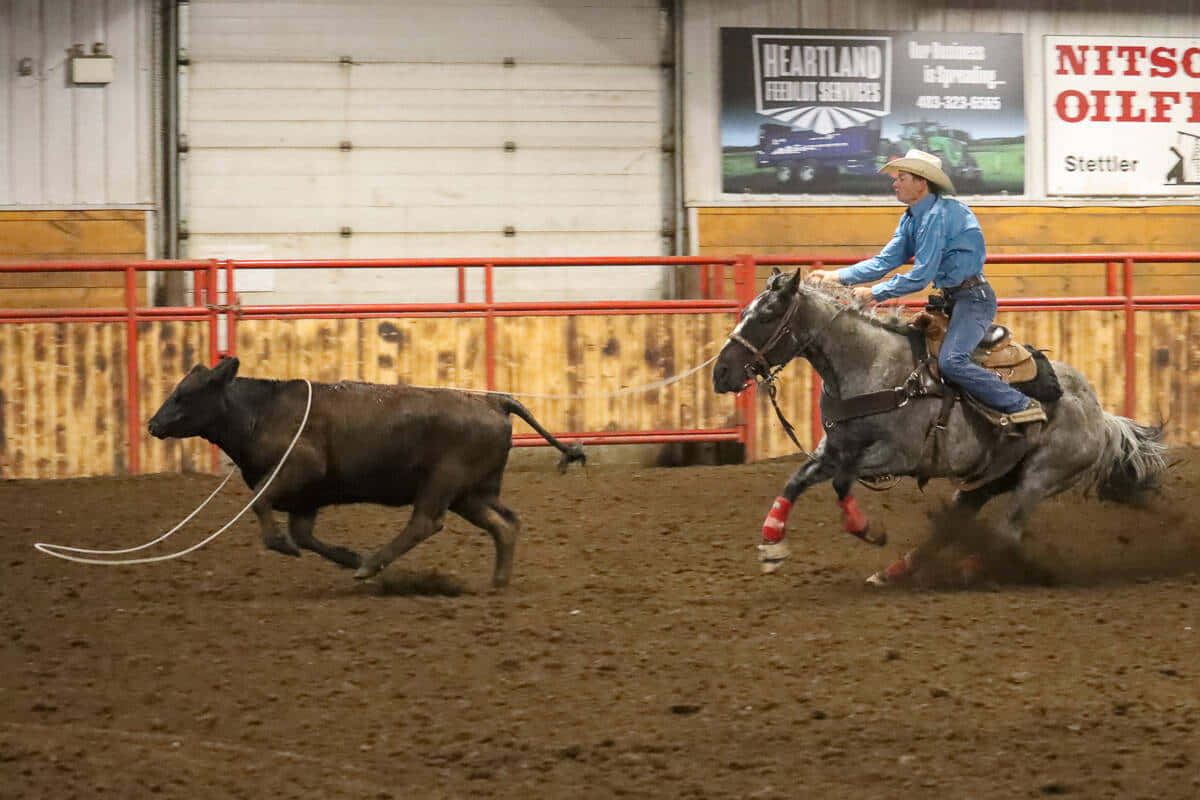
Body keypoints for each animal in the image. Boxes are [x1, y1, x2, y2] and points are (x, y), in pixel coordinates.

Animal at [710, 268, 1161, 587]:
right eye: (746, 311)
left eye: (767, 315)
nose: (721, 373)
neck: (872, 365)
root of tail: (1100, 414)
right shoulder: (835, 447)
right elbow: (796, 479)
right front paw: (771, 544)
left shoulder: (900, 456)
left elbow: (840, 481)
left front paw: (867, 530)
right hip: (988, 479)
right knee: (953, 525)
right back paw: (895, 572)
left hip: (1041, 477)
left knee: (1007, 531)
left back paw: (968, 571)